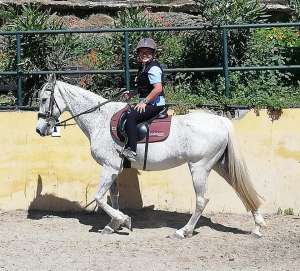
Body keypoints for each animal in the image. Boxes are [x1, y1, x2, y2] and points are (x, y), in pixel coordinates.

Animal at [36, 77, 266, 239]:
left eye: (44, 99)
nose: (39, 130)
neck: (100, 120)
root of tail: (221, 121)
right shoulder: (113, 169)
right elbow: (113, 196)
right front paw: (113, 225)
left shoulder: (109, 167)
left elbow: (100, 197)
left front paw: (123, 220)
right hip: (219, 165)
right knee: (241, 189)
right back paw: (257, 226)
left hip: (199, 167)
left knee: (202, 200)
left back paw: (183, 231)